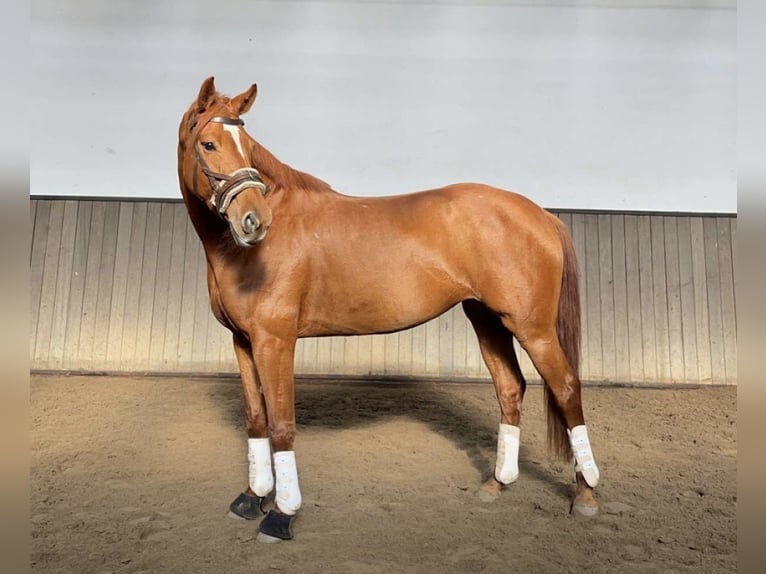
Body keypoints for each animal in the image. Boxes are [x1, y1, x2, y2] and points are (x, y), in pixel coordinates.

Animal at [177, 77, 604, 544]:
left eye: (248, 146)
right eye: (209, 144)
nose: (255, 220)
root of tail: (542, 215)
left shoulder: (276, 341)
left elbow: (281, 424)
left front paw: (280, 515)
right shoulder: (243, 340)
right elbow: (256, 419)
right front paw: (252, 498)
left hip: (533, 328)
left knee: (566, 388)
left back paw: (586, 495)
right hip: (488, 319)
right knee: (511, 388)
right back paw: (497, 483)